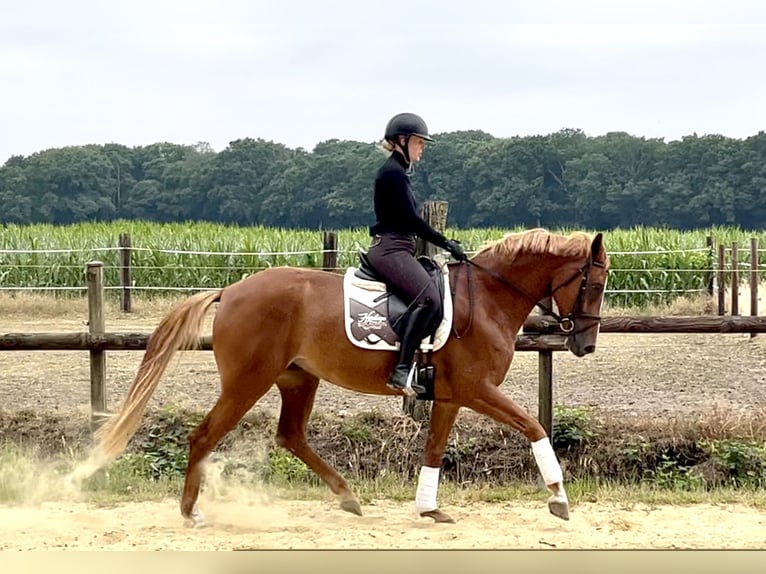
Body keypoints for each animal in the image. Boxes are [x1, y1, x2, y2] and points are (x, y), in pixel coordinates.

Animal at [87, 228, 609, 526]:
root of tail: (231, 289)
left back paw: (348, 498)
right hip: (248, 381)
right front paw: (559, 499)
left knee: (291, 436)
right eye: (596, 283)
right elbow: (535, 426)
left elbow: (434, 450)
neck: (486, 298)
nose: (585, 345)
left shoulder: (449, 396)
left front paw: (429, 508)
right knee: (204, 435)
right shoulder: (476, 389)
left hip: (298, 379)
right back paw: (191, 511)